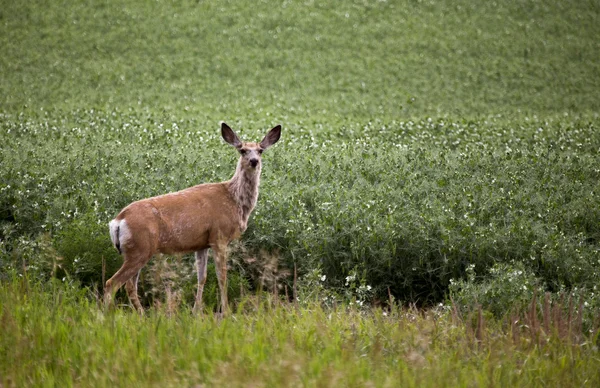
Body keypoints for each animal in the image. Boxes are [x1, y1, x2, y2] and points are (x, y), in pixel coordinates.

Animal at [104, 123, 282, 314]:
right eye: (242, 150)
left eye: (260, 150)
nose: (254, 161)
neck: (234, 200)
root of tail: (118, 220)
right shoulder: (219, 236)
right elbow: (222, 277)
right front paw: (226, 312)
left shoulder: (202, 243)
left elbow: (201, 277)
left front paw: (196, 311)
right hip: (140, 248)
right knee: (112, 283)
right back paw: (108, 315)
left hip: (135, 250)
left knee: (129, 285)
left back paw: (141, 315)